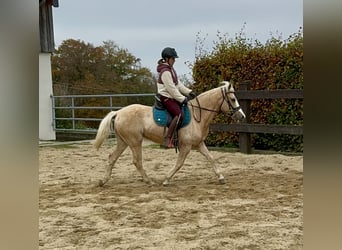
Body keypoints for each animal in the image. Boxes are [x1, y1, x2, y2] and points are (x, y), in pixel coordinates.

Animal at [92, 81, 244, 187]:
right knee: (137, 162)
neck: (197, 115)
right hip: (135, 142)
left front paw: (221, 177)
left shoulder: (199, 144)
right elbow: (179, 163)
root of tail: (118, 112)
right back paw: (149, 181)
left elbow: (211, 158)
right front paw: (166, 180)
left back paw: (103, 181)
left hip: (123, 142)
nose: (242, 116)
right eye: (233, 99)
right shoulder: (186, 146)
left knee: (112, 158)